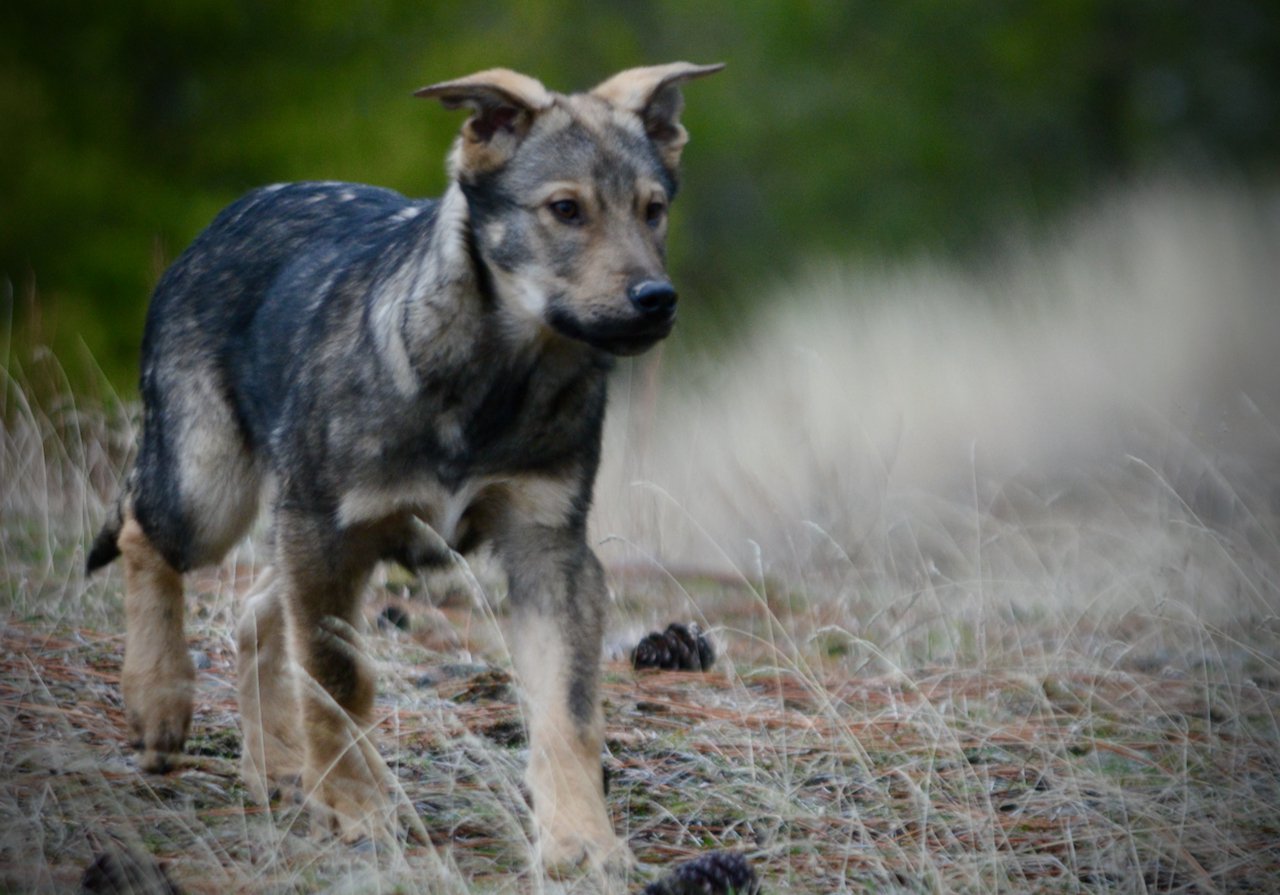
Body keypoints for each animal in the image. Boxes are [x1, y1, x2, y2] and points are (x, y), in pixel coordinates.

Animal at [88, 64, 721, 875]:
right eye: (565, 210)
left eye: (653, 211)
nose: (656, 301)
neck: (495, 380)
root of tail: (226, 216)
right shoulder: (329, 532)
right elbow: (339, 680)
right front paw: (357, 808)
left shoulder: (549, 549)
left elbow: (567, 710)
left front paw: (581, 839)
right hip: (212, 492)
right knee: (144, 533)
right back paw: (161, 703)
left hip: (293, 530)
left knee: (256, 611)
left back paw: (281, 769)